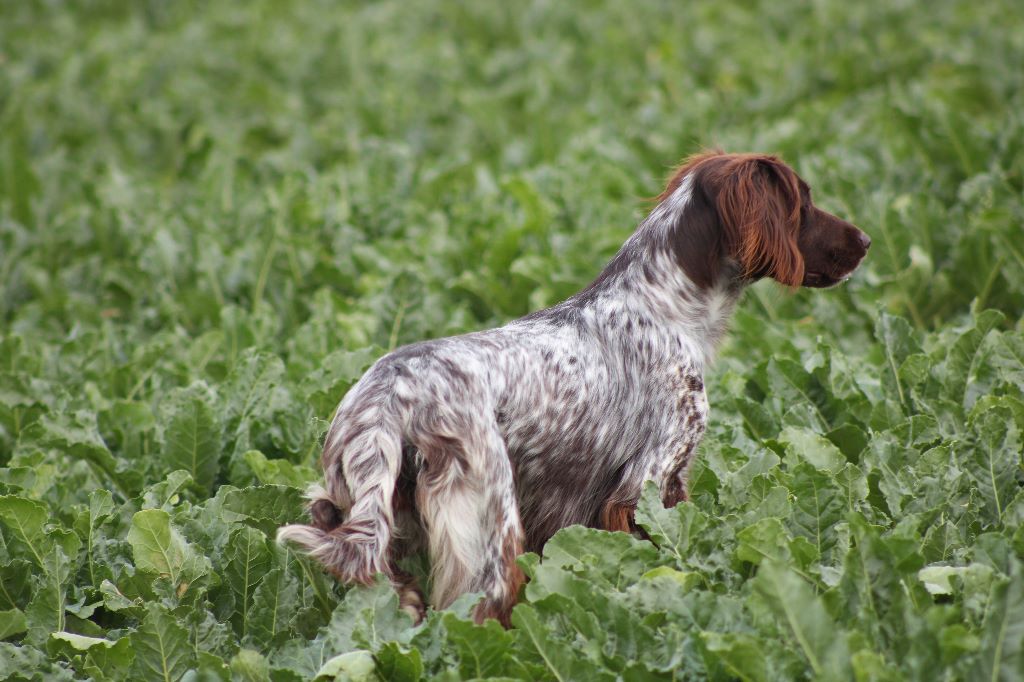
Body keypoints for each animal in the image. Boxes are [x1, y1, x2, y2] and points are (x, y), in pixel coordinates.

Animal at [276, 151, 868, 622]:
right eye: (802, 202)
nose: (864, 241)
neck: (663, 304)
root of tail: (388, 396)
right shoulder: (651, 481)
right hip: (491, 532)